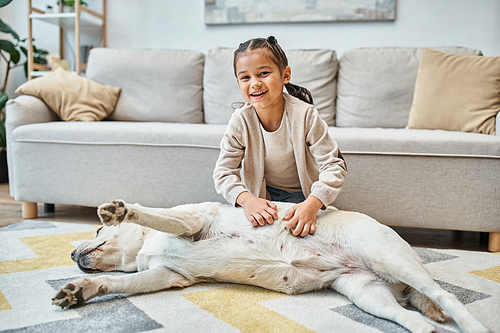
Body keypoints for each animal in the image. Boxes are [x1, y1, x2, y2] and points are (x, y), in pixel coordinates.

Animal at [52, 200, 490, 332]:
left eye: (96, 229)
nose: (71, 255)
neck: (145, 249)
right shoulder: (167, 277)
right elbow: (115, 285)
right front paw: (78, 291)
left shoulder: (189, 223)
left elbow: (152, 215)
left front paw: (121, 211)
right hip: (367, 293)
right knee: (414, 318)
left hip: (391, 259)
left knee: (445, 296)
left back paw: (474, 326)